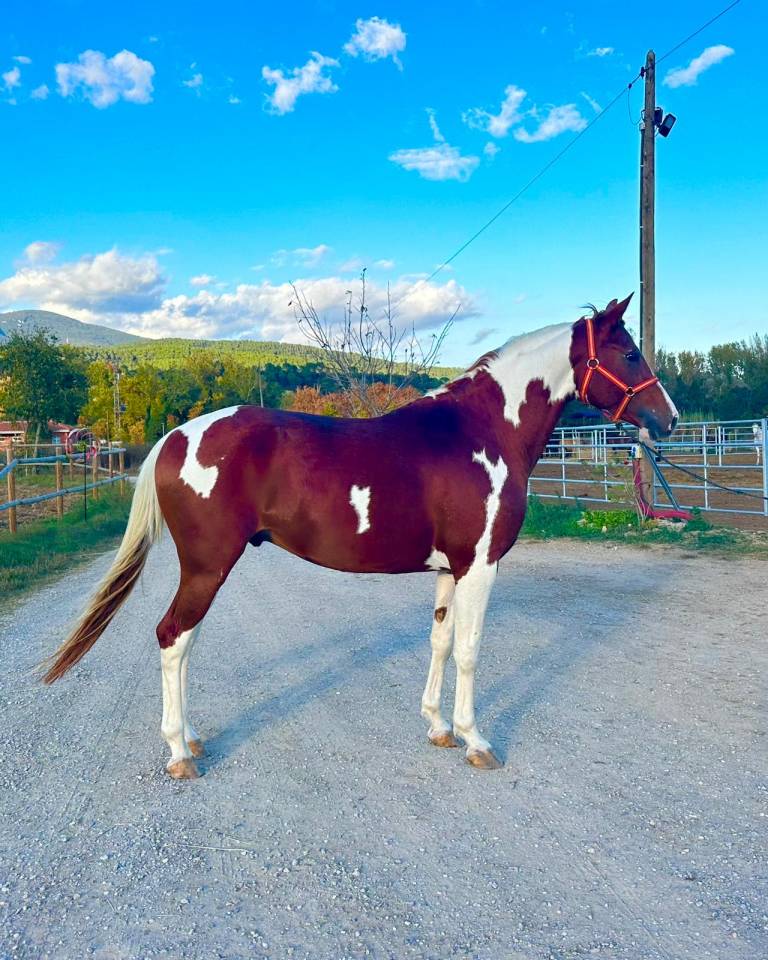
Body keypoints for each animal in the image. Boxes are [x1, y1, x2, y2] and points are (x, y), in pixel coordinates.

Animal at [42, 295, 678, 779]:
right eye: (628, 351)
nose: (669, 419)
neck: (482, 431)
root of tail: (175, 437)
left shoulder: (449, 570)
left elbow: (440, 642)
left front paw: (438, 727)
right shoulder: (480, 565)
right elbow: (470, 651)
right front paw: (475, 740)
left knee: (182, 642)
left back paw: (192, 738)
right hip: (207, 566)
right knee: (173, 637)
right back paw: (179, 752)